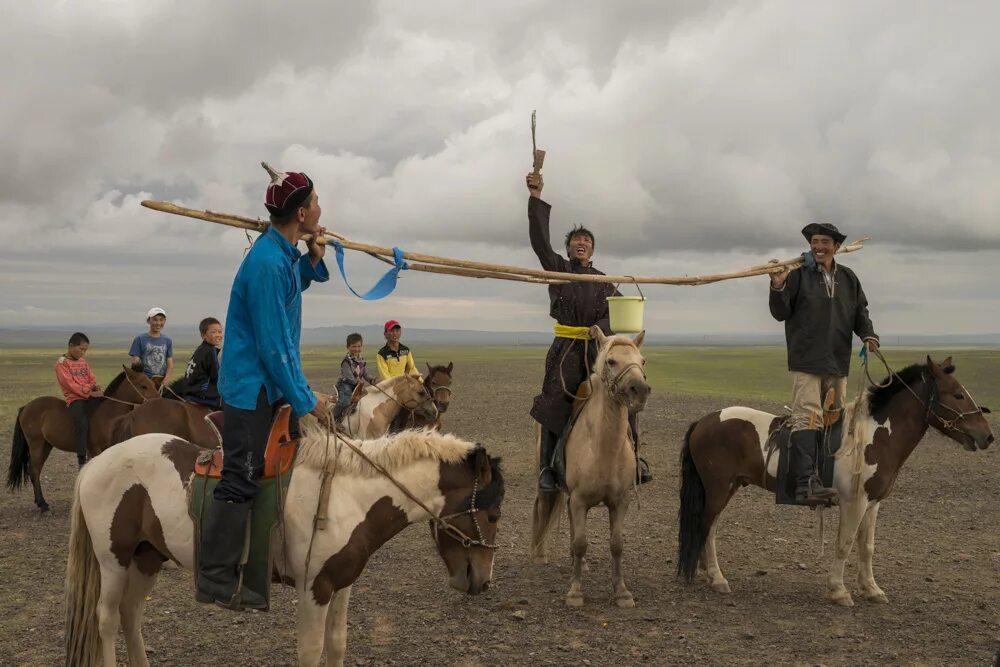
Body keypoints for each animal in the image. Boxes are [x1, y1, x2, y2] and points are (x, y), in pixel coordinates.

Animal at [5, 368, 160, 516]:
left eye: (152, 384)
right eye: (143, 385)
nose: (158, 401)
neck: (108, 414)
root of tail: (25, 407)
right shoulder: (96, 449)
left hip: (45, 446)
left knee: (34, 471)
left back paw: (40, 503)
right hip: (36, 445)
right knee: (35, 471)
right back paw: (43, 505)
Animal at [60, 420, 508, 667]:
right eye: (494, 515)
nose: (483, 581)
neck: (348, 496)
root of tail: (96, 463)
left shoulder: (341, 586)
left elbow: (337, 646)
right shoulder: (314, 589)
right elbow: (310, 652)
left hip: (147, 556)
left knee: (131, 615)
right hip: (114, 559)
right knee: (107, 618)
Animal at [528, 326, 652, 608]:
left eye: (641, 361)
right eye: (611, 361)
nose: (639, 390)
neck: (603, 448)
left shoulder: (620, 501)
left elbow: (616, 544)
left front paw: (622, 592)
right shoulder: (580, 499)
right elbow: (581, 542)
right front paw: (575, 593)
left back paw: (581, 564)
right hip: (553, 488)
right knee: (546, 509)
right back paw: (540, 555)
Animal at [676, 358, 996, 608]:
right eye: (957, 395)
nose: (988, 436)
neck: (873, 436)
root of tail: (704, 422)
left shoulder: (873, 503)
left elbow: (867, 546)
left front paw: (871, 589)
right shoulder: (853, 502)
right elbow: (845, 544)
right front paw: (839, 591)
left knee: (706, 528)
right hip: (718, 489)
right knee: (709, 528)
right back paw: (717, 577)